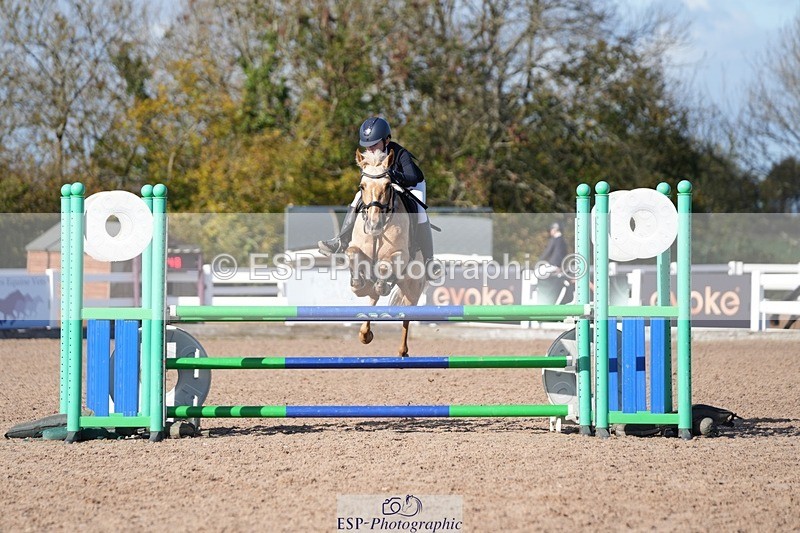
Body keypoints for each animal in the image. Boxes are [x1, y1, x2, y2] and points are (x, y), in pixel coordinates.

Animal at [346, 149, 427, 356]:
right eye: (362, 186)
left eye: (388, 185)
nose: (374, 225)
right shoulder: (357, 249)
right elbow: (352, 253)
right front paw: (358, 284)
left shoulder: (400, 255)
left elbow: (384, 266)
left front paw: (381, 285)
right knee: (372, 300)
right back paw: (365, 334)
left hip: (413, 287)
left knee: (407, 314)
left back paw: (402, 351)